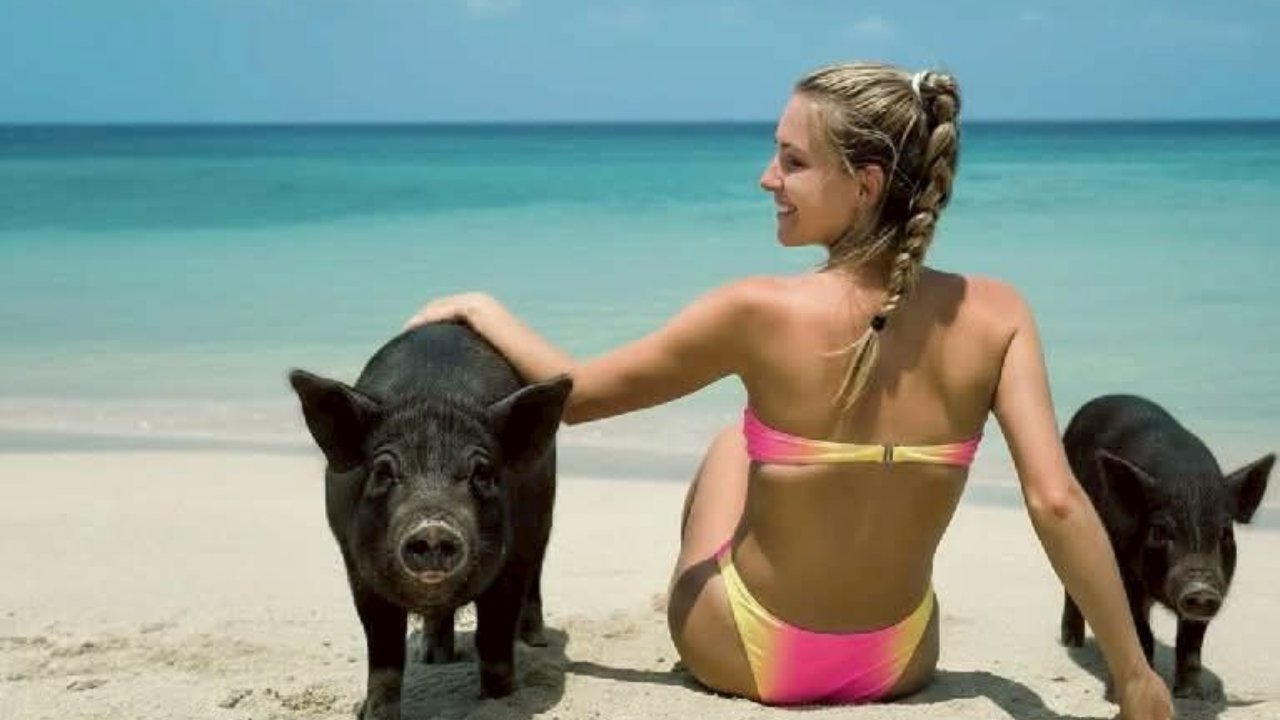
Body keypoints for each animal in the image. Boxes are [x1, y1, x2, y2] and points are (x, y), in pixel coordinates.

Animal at [288, 321, 571, 720]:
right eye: (383, 473)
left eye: (482, 474)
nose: (434, 528)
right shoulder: (357, 567)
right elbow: (384, 647)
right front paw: (373, 713)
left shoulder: (513, 560)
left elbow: (495, 635)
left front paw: (501, 699)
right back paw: (433, 658)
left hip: (544, 519)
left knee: (536, 577)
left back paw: (534, 641)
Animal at [1060, 393, 1273, 699]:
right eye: (1160, 531)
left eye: (1225, 533)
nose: (1201, 589)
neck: (1188, 481)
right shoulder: (1121, 571)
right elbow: (1141, 632)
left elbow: (1191, 642)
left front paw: (1191, 694)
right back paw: (1071, 643)